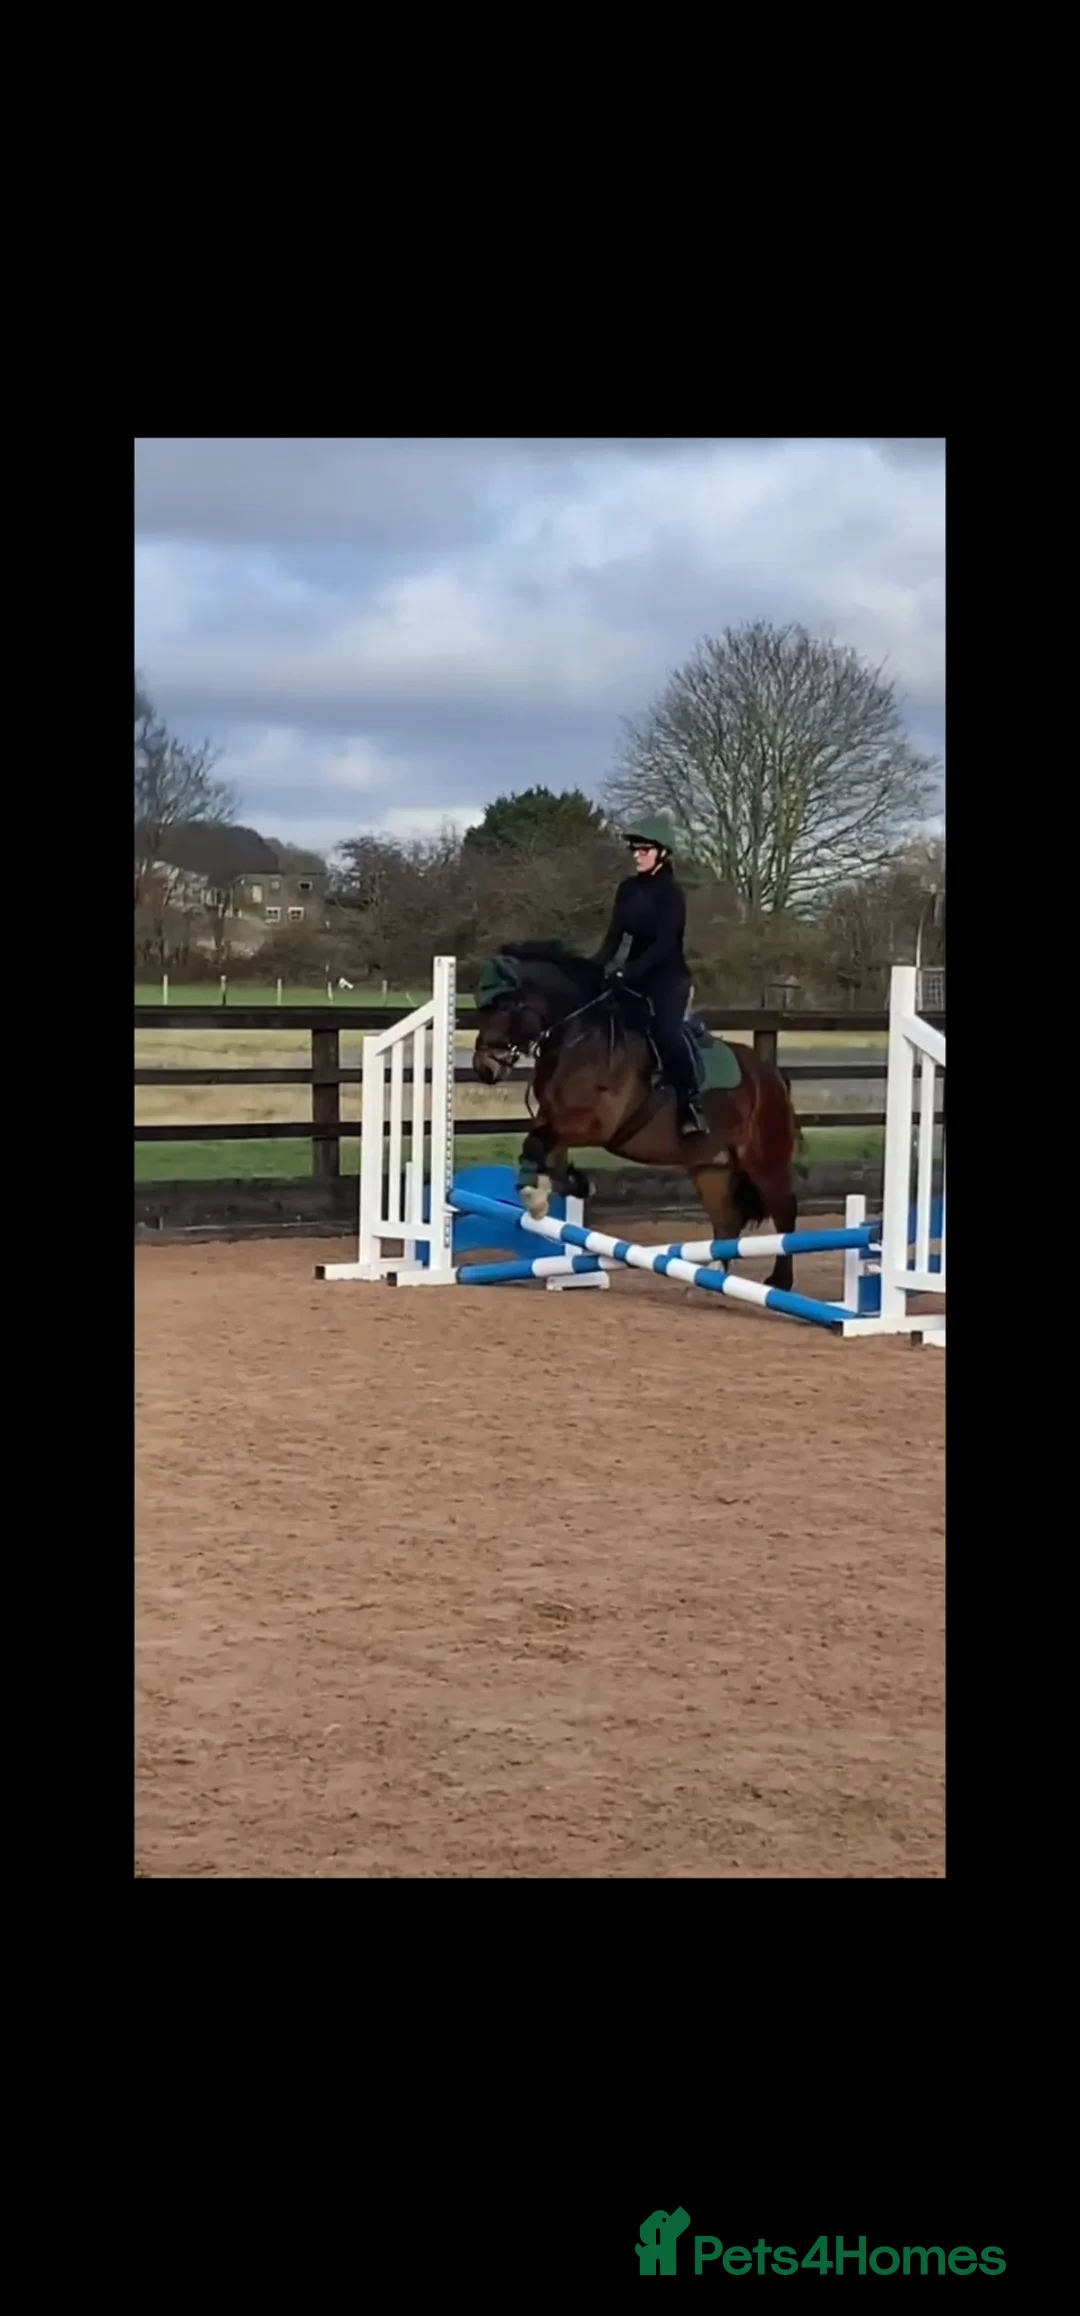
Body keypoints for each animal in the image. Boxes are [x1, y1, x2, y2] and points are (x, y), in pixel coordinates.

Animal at [471, 940, 804, 1293]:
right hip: (710, 1166)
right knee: (727, 1218)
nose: (484, 1067)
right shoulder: (553, 1116)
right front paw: (566, 1186)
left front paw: (540, 1196)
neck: (579, 1037)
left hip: (763, 1161)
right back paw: (712, 1278)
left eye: (506, 1006)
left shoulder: (594, 1125)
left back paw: (778, 1281)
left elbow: (537, 1143)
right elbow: (542, 1150)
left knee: (784, 1211)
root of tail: (772, 1075)